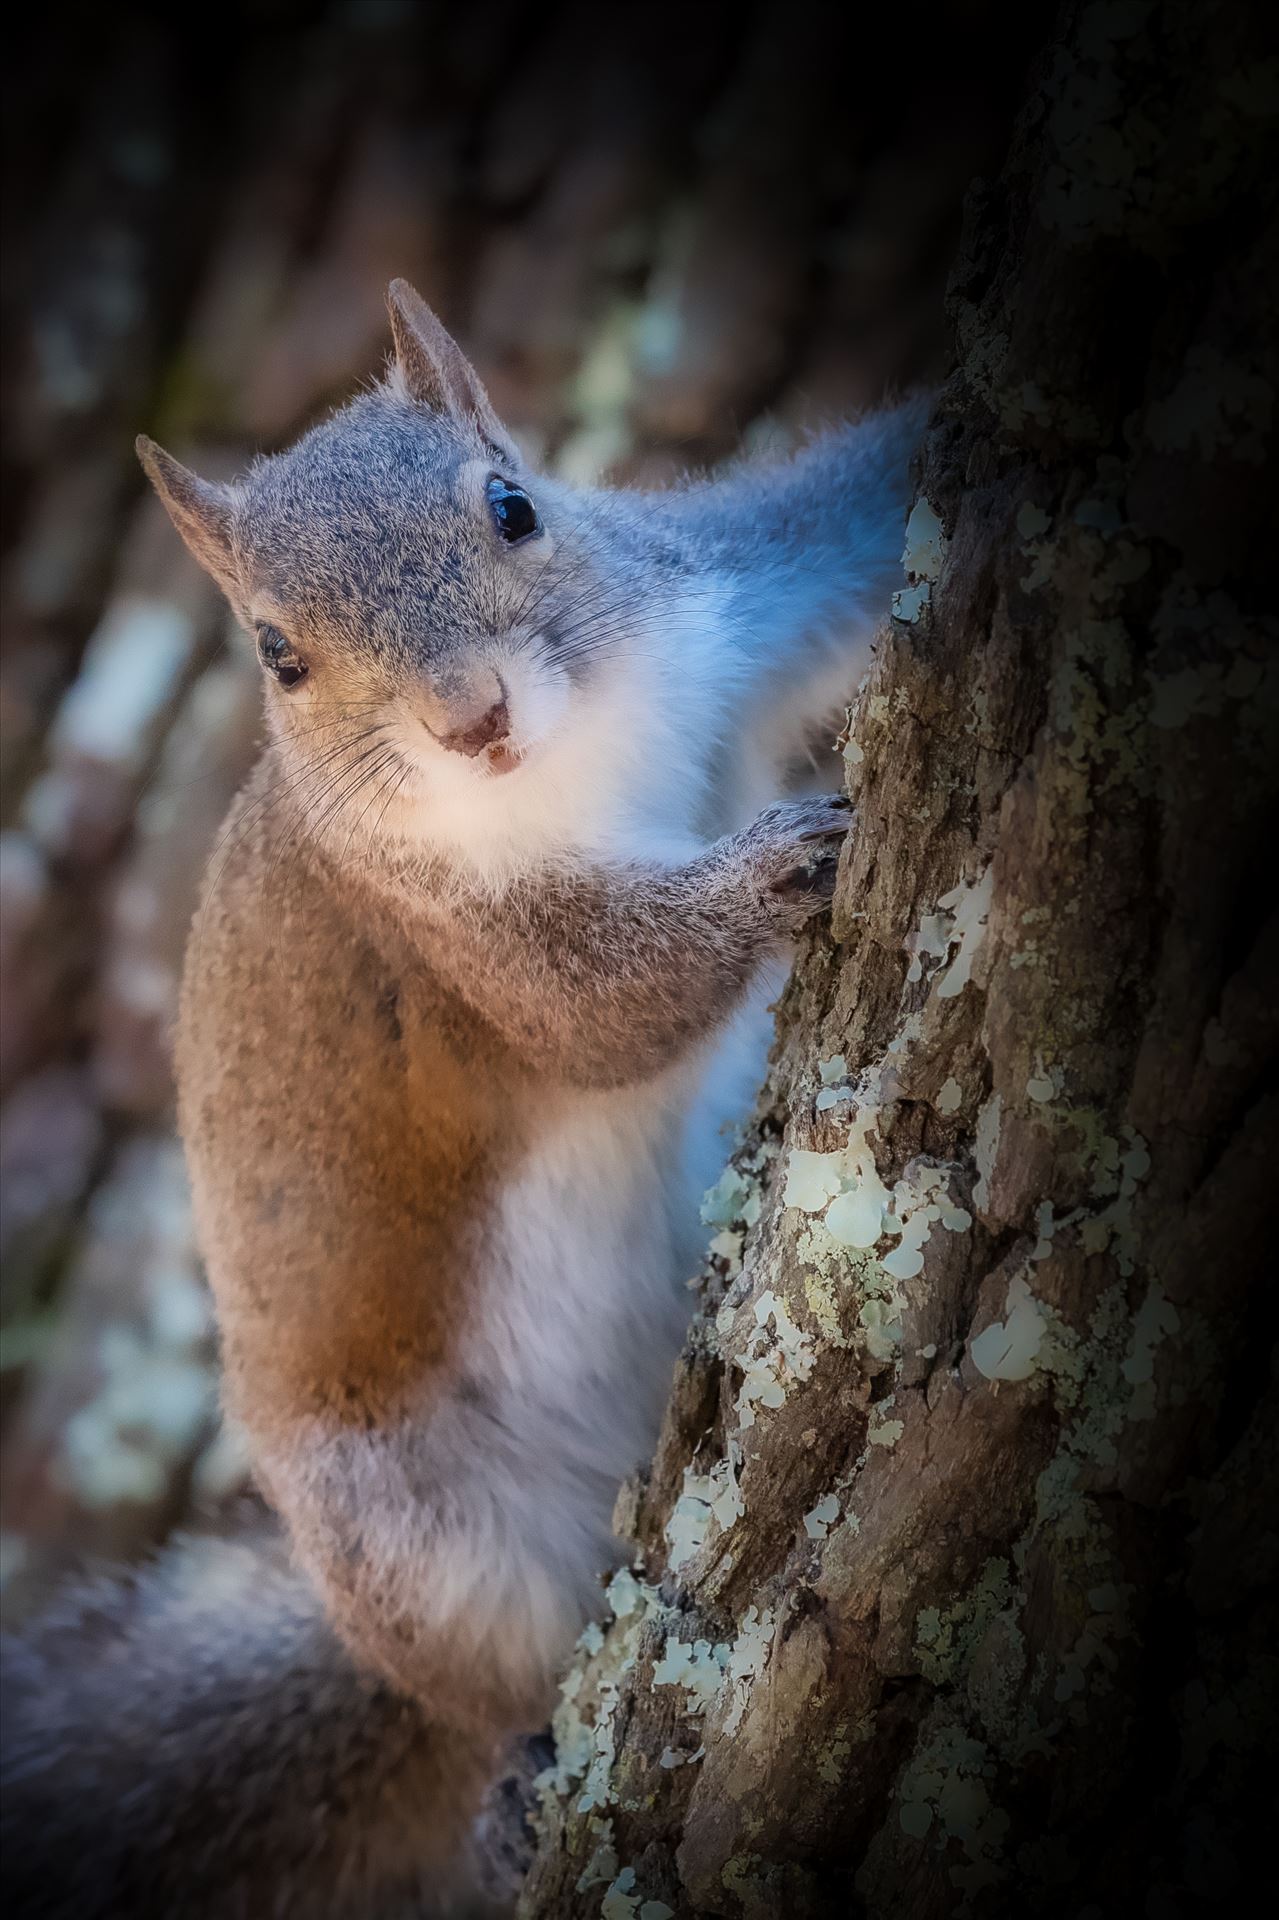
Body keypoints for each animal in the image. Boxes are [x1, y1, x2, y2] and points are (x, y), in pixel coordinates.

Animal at [0, 284, 925, 1920]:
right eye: (276, 653)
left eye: (513, 505)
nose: (469, 721)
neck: (568, 768)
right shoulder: (450, 946)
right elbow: (609, 1008)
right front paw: (770, 871)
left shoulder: (724, 599)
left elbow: (848, 523)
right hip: (413, 1533)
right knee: (497, 1679)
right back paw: (510, 1775)